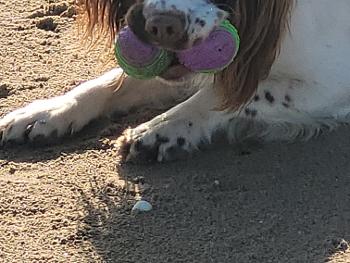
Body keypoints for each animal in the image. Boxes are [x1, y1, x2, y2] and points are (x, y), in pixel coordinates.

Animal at [0, 0, 350, 163]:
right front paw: (46, 112)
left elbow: (231, 95)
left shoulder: (329, 83)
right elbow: (113, 82)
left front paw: (162, 129)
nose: (161, 26)